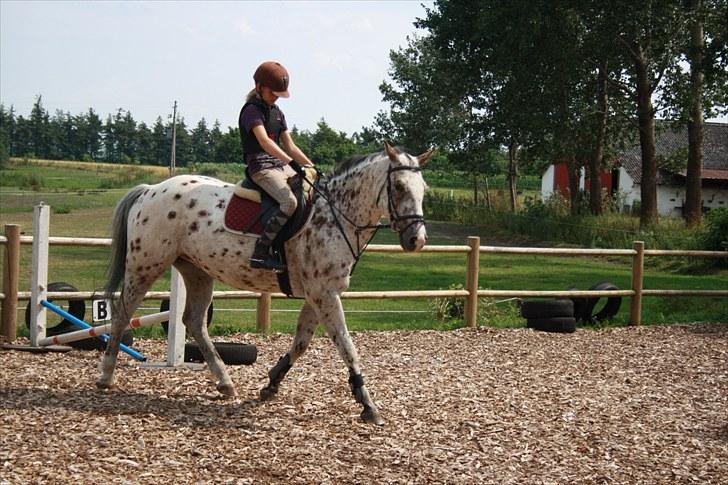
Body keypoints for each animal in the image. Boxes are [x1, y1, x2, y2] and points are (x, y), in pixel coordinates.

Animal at [97, 143, 430, 424]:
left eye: (423, 189)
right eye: (399, 186)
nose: (417, 240)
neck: (335, 214)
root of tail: (150, 190)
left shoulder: (319, 294)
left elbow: (302, 342)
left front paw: (271, 383)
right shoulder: (325, 294)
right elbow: (346, 345)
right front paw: (367, 404)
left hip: (197, 271)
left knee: (193, 321)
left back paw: (225, 383)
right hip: (145, 265)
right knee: (123, 313)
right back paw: (105, 376)